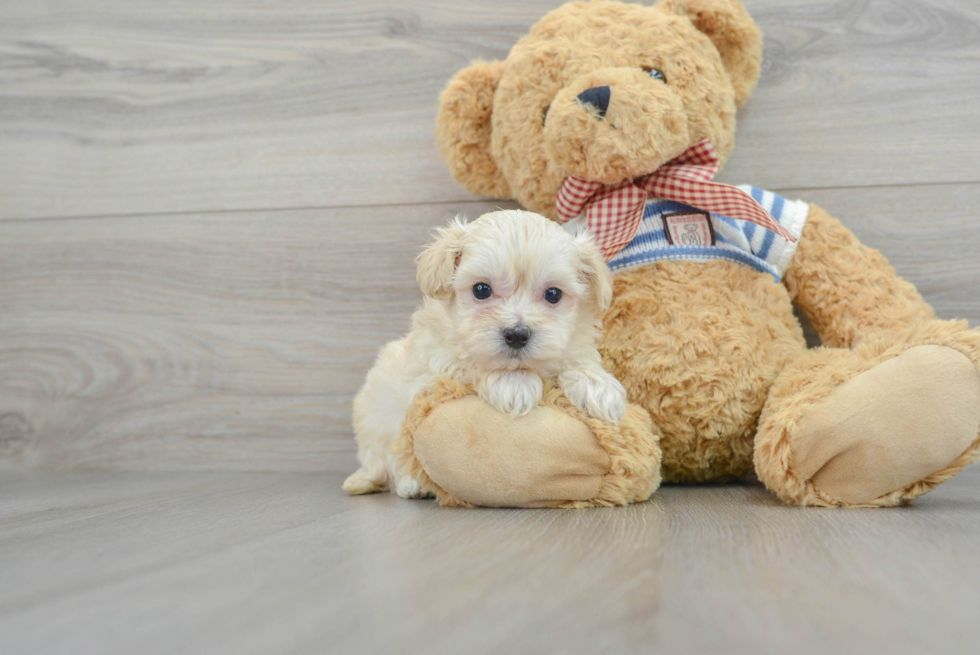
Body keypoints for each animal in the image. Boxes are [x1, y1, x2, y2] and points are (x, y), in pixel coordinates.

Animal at [340, 210, 624, 498]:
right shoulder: (430, 372)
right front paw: (514, 384)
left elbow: (577, 360)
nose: (517, 334)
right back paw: (410, 484)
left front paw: (598, 386)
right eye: (481, 290)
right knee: (391, 458)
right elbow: (470, 365)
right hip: (377, 420)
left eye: (553, 294)